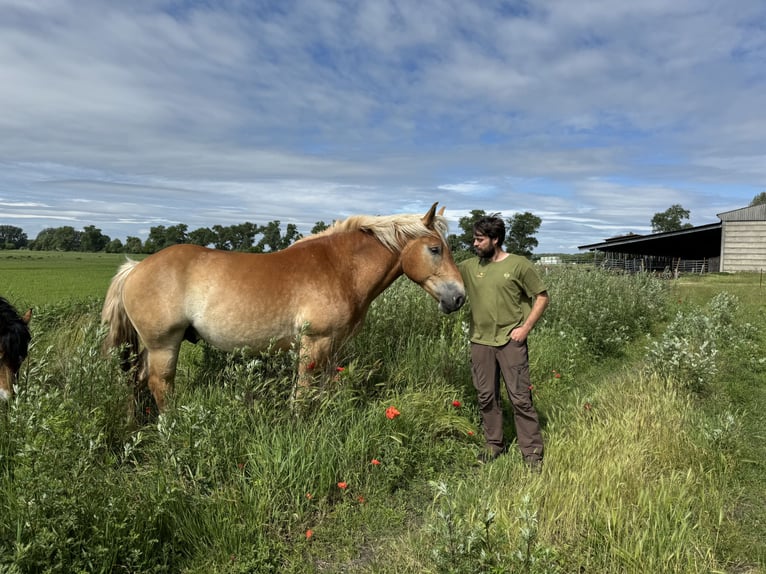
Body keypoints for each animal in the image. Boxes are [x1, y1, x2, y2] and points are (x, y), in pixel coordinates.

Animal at [102, 205, 468, 412]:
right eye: (435, 249)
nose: (459, 297)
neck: (339, 268)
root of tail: (135, 268)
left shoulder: (334, 347)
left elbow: (323, 391)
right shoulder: (314, 344)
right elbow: (303, 394)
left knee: (138, 381)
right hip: (164, 345)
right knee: (160, 385)